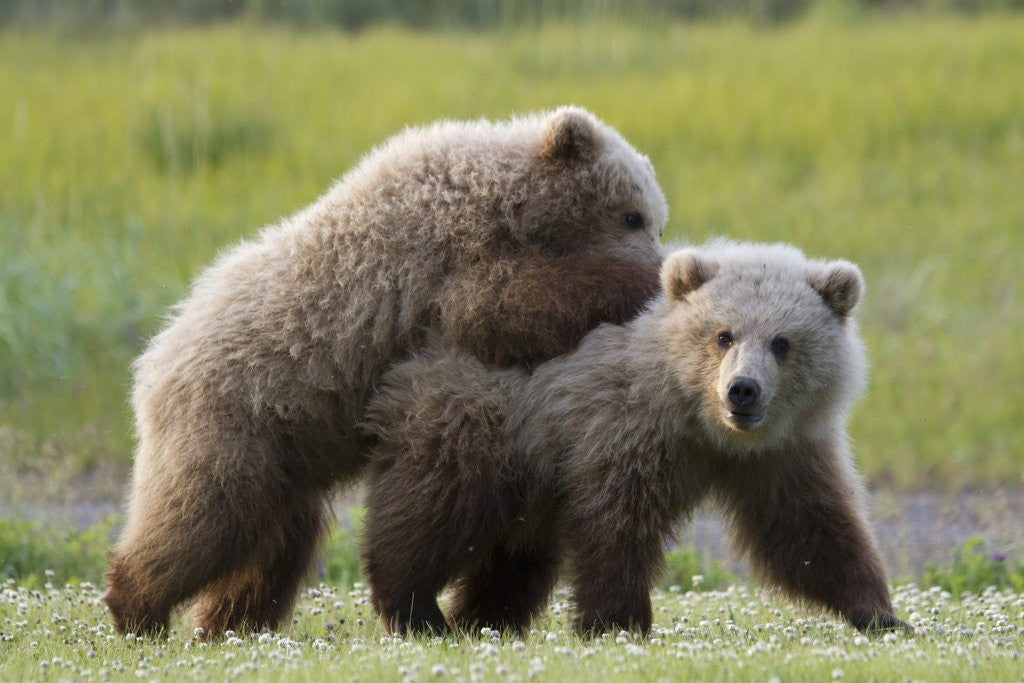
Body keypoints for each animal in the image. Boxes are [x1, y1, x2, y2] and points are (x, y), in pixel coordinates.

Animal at [103, 106, 668, 637]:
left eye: (652, 218)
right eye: (633, 216)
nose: (659, 249)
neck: (512, 197)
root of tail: (154, 359)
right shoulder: (453, 253)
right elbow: (499, 304)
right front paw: (642, 281)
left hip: (288, 457)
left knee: (274, 548)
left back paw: (227, 623)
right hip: (234, 422)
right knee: (205, 519)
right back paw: (138, 608)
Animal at [361, 241, 911, 636]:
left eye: (782, 342)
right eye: (723, 335)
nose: (742, 390)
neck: (701, 425)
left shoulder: (783, 453)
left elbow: (809, 527)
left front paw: (881, 613)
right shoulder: (625, 428)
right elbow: (617, 523)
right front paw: (616, 622)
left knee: (518, 556)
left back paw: (483, 620)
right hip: (481, 426)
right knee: (434, 513)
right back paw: (417, 610)